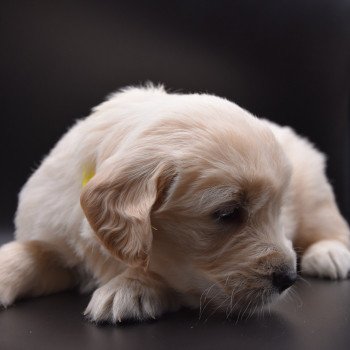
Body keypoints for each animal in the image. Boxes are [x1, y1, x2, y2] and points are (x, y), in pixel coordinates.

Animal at [0, 85, 350, 322]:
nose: (289, 278)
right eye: (227, 214)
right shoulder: (52, 231)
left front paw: (128, 289)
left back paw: (330, 255)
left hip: (314, 194)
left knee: (333, 228)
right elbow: (29, 251)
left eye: (278, 211)